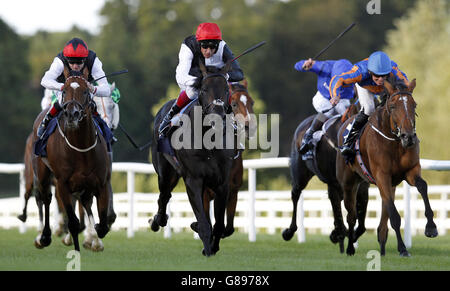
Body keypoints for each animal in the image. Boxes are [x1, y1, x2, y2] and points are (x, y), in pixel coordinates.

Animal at [31, 67, 115, 252]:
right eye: (64, 91)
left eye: (85, 91)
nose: (72, 114)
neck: (81, 149)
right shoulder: (63, 184)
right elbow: (73, 222)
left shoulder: (101, 183)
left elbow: (103, 224)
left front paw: (94, 237)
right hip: (42, 174)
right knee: (46, 199)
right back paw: (44, 237)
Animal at [151, 62, 236, 258]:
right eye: (204, 90)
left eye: (226, 90)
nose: (216, 119)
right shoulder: (193, 180)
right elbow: (205, 223)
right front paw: (208, 248)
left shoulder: (222, 183)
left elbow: (218, 224)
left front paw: (212, 246)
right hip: (166, 173)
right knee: (164, 196)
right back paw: (158, 220)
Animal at [336, 76, 438, 256]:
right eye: (392, 106)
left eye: (414, 105)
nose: (408, 137)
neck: (394, 141)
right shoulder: (382, 176)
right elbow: (394, 216)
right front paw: (403, 249)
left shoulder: (410, 171)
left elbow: (422, 186)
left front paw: (431, 227)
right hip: (349, 183)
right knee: (351, 216)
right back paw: (349, 248)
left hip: (388, 185)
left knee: (382, 220)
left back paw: (382, 249)